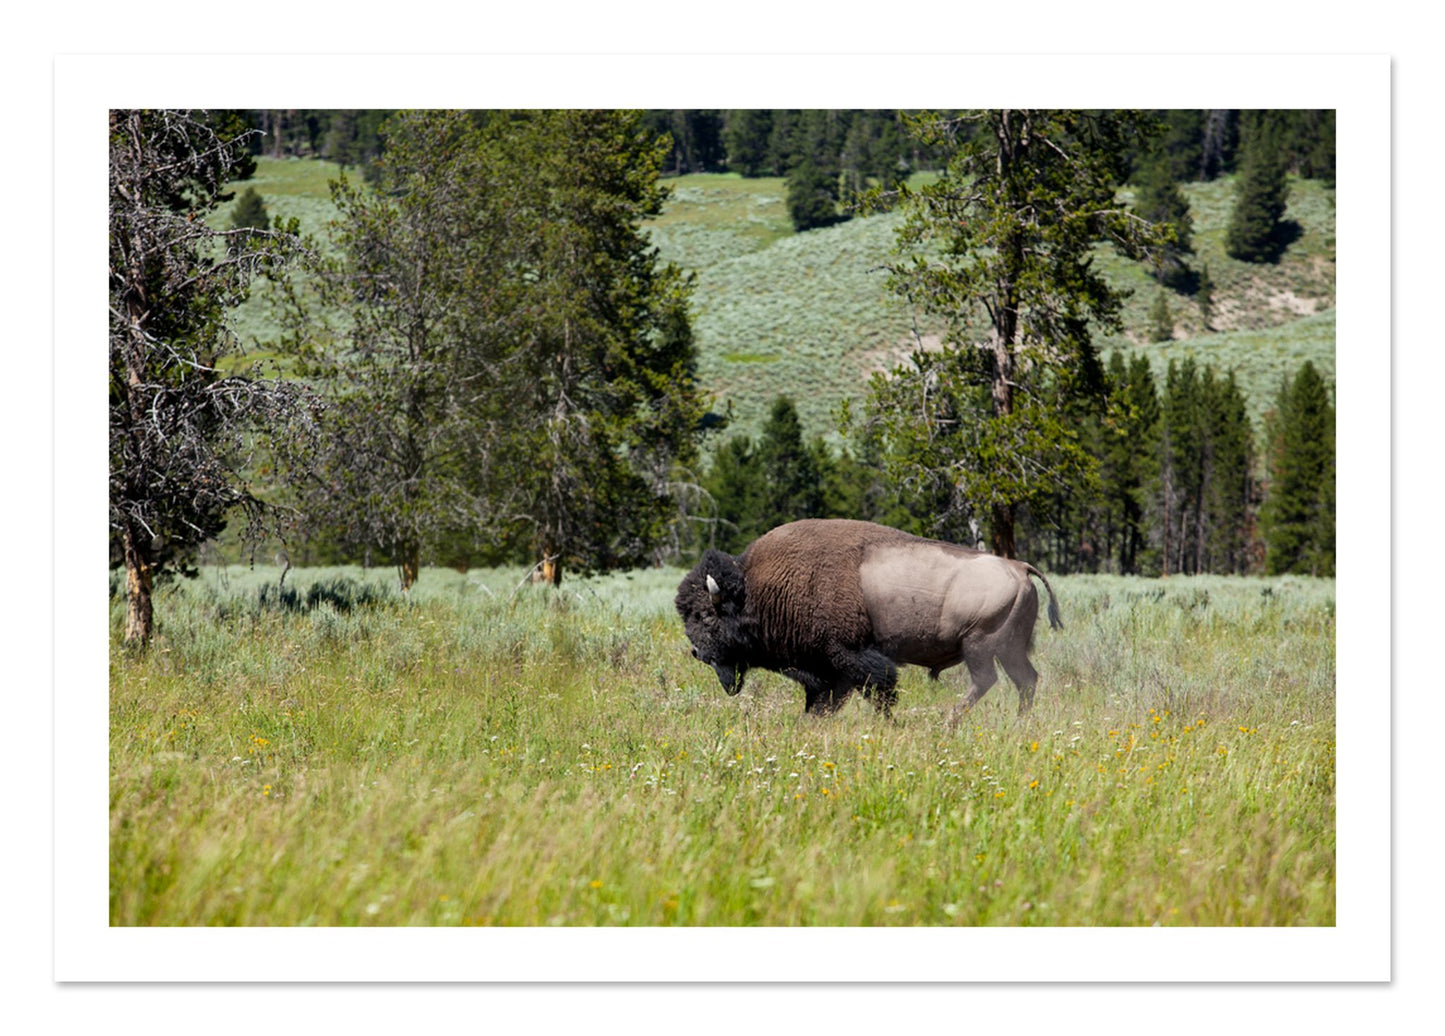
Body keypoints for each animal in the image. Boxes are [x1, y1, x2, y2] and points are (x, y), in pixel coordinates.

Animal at [675, 519, 1062, 721]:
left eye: (706, 616)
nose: (697, 652)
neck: (757, 588)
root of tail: (1019, 567)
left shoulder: (850, 658)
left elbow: (878, 691)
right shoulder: (827, 671)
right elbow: (823, 703)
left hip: (979, 645)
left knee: (987, 681)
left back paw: (948, 722)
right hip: (1009, 649)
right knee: (1025, 680)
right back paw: (1018, 722)